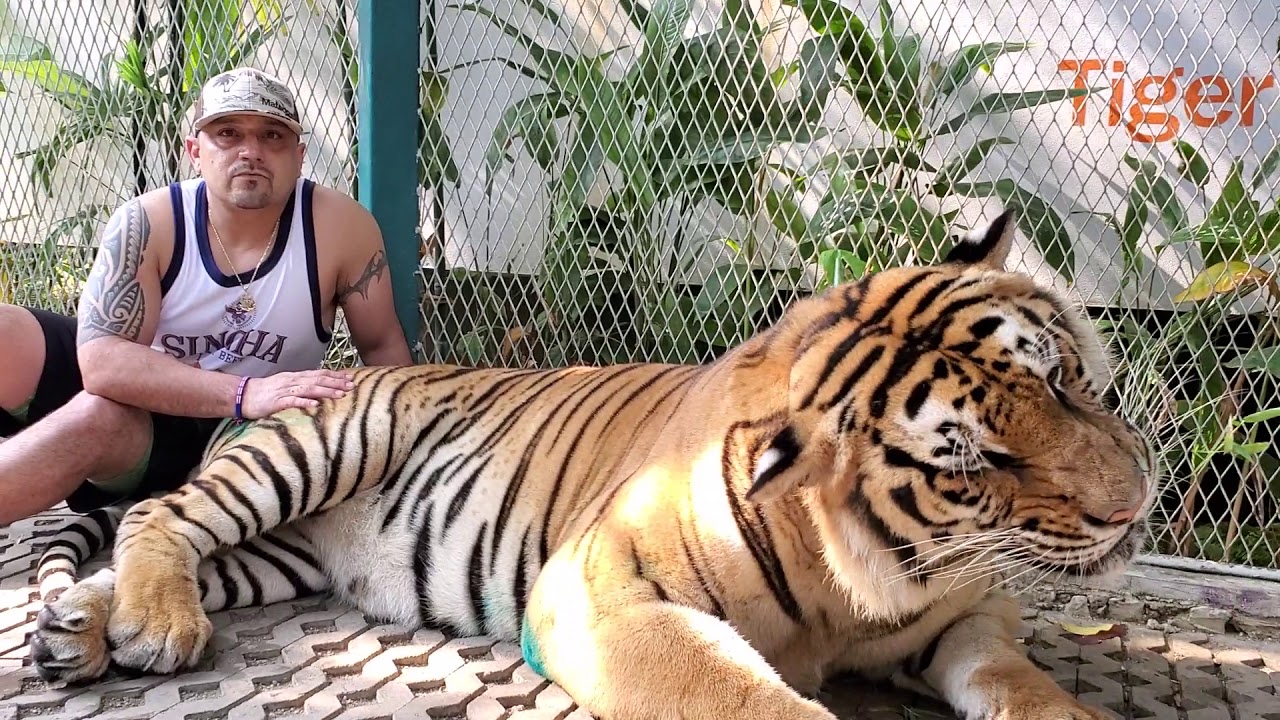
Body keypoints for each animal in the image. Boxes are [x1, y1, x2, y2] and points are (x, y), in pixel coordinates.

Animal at [27, 208, 1156, 720]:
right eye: (976, 459)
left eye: (1064, 380)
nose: (1135, 506)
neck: (862, 586)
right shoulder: (601, 595)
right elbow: (739, 694)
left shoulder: (966, 615)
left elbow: (1021, 685)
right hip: (323, 446)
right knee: (159, 516)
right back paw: (151, 627)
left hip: (286, 556)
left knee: (174, 550)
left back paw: (78, 630)